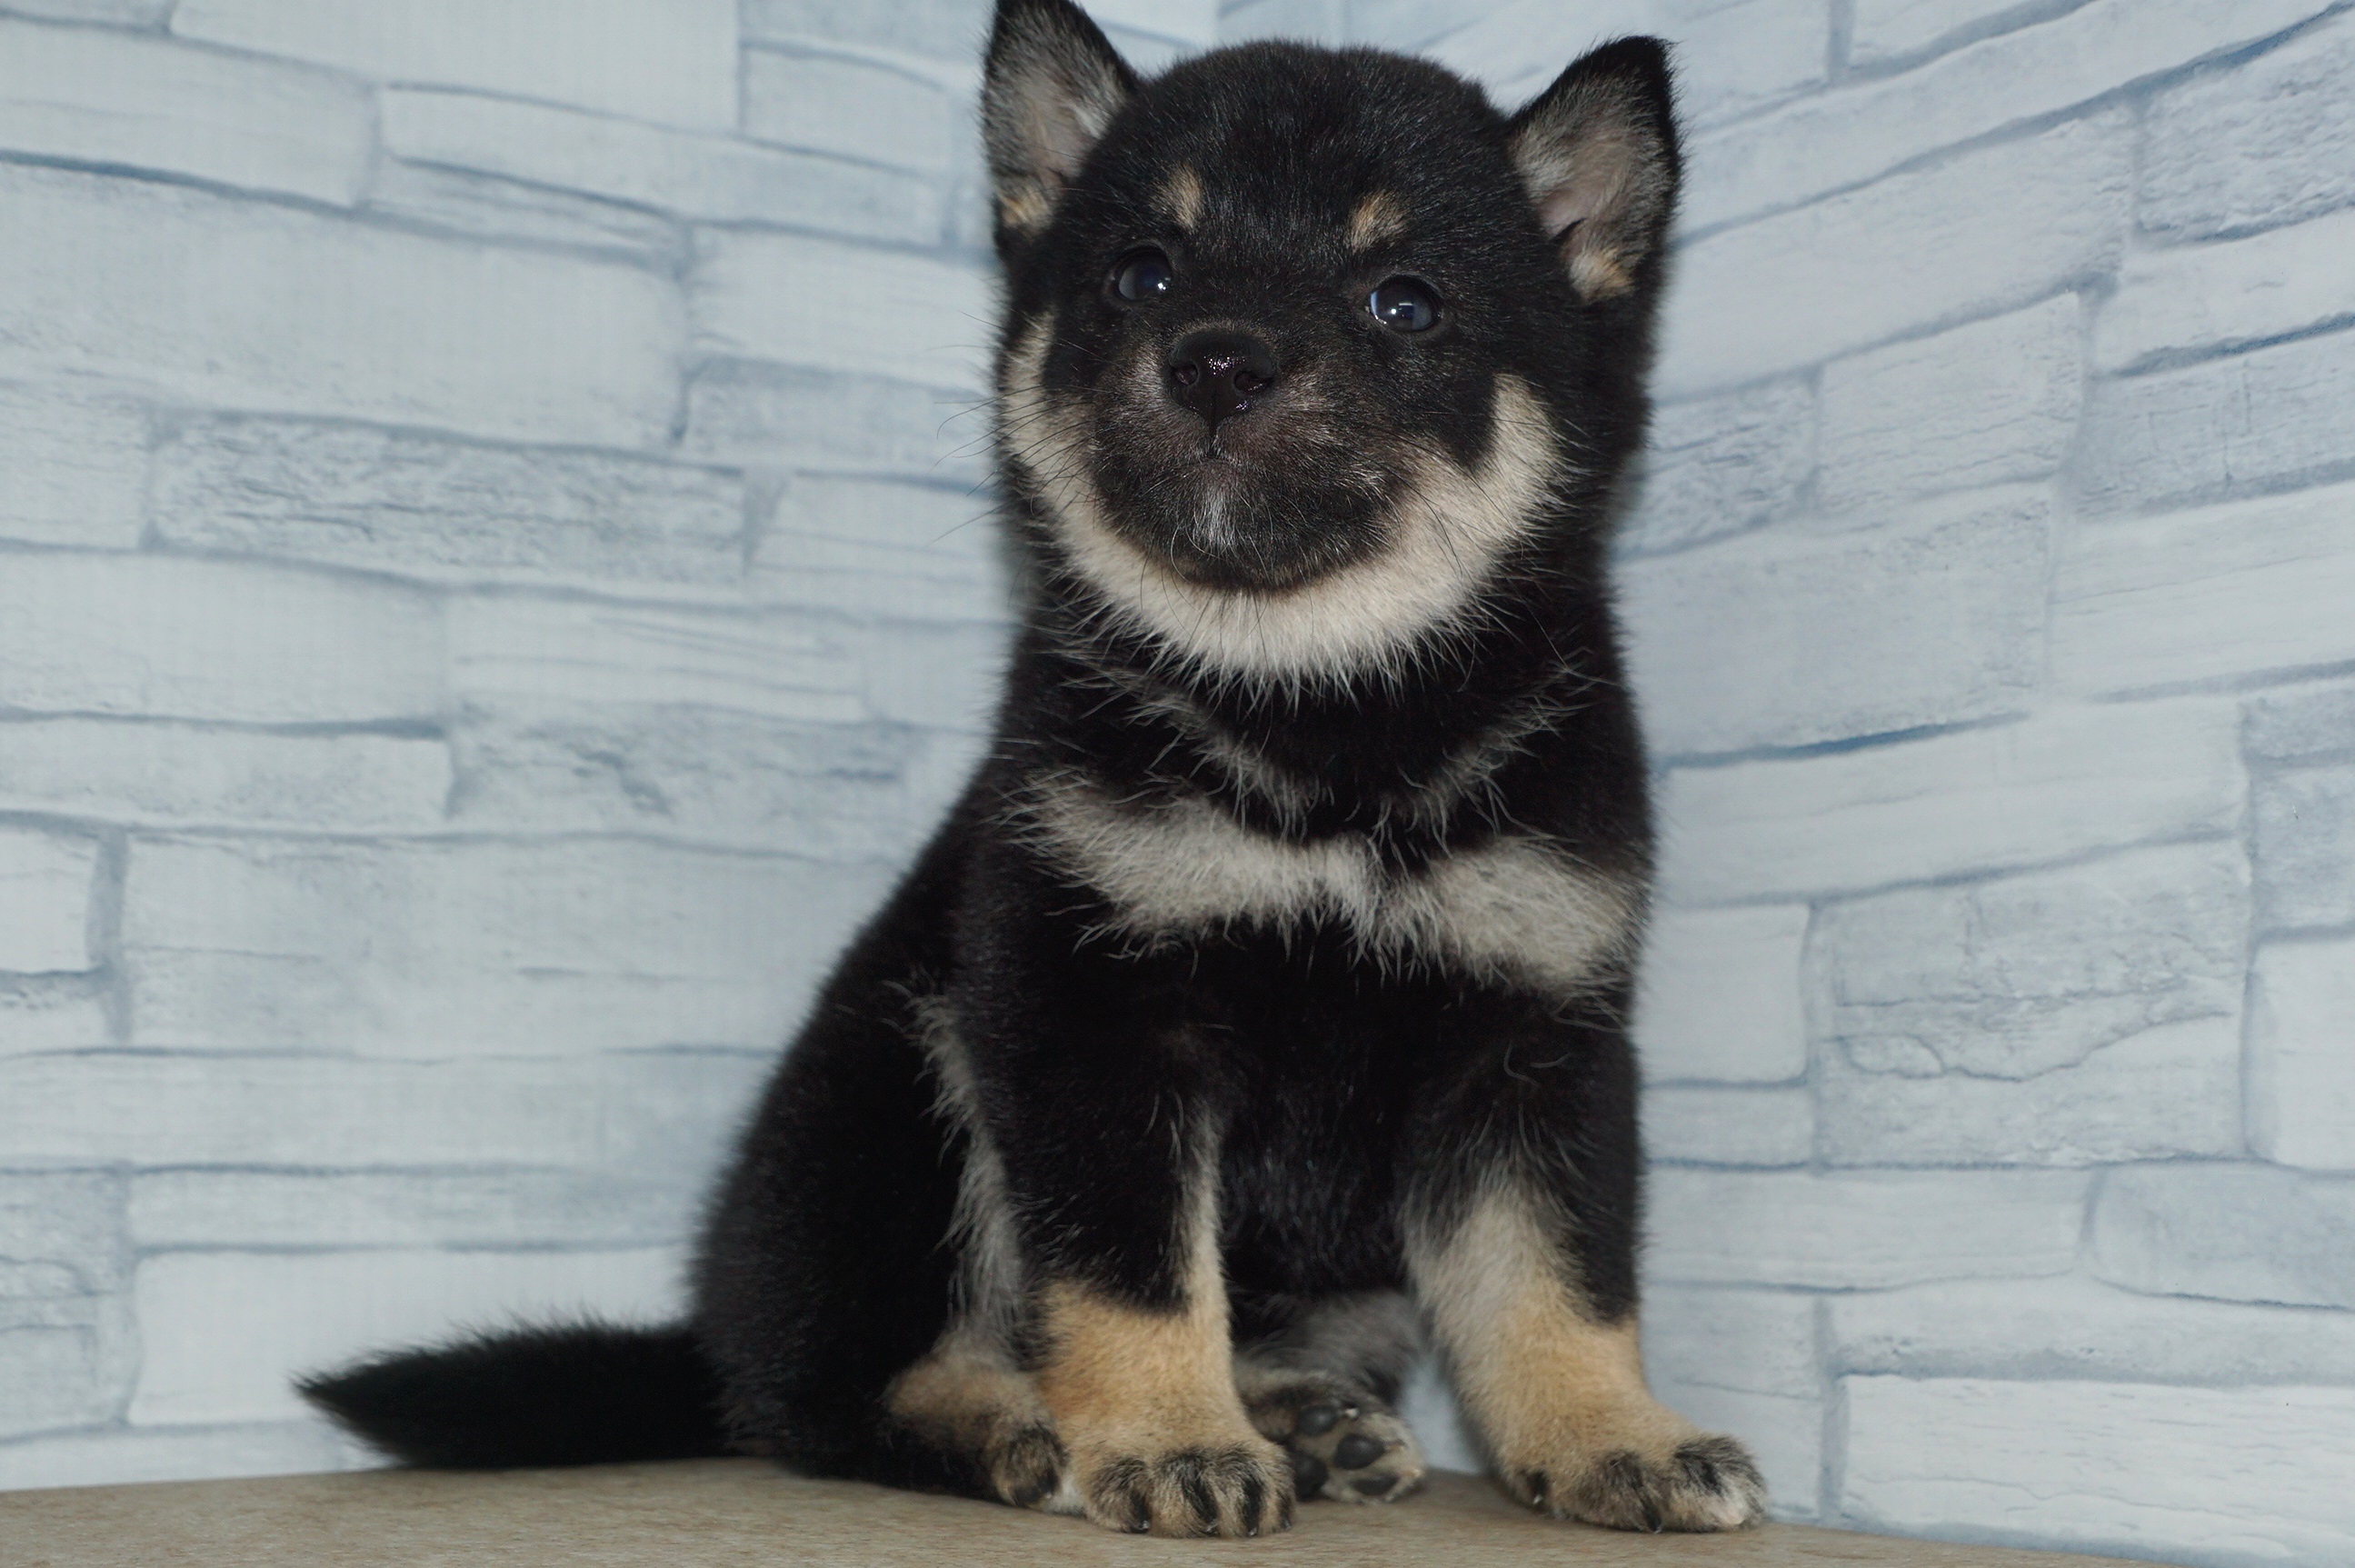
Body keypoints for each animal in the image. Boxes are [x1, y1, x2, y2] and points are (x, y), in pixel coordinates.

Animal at [299, 0, 1771, 1534]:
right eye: (1141, 272)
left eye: (1403, 301)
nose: (1216, 360)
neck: (1315, 715)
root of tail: (706, 1341)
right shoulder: (1089, 1008)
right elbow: (1135, 1272)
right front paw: (1167, 1439)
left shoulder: (1528, 1037)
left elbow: (1555, 1278)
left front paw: (1611, 1435)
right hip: (898, 1084)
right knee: (823, 1393)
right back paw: (1012, 1424)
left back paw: (1301, 1417)